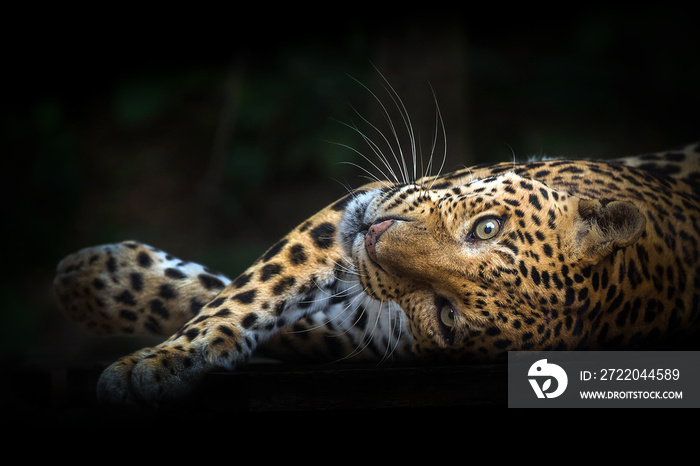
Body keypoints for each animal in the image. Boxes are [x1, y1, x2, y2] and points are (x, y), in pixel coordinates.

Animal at [52, 99, 700, 404]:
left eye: (445, 314)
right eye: (487, 228)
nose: (375, 236)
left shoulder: (364, 332)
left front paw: (96, 289)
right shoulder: (358, 209)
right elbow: (248, 291)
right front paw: (141, 342)